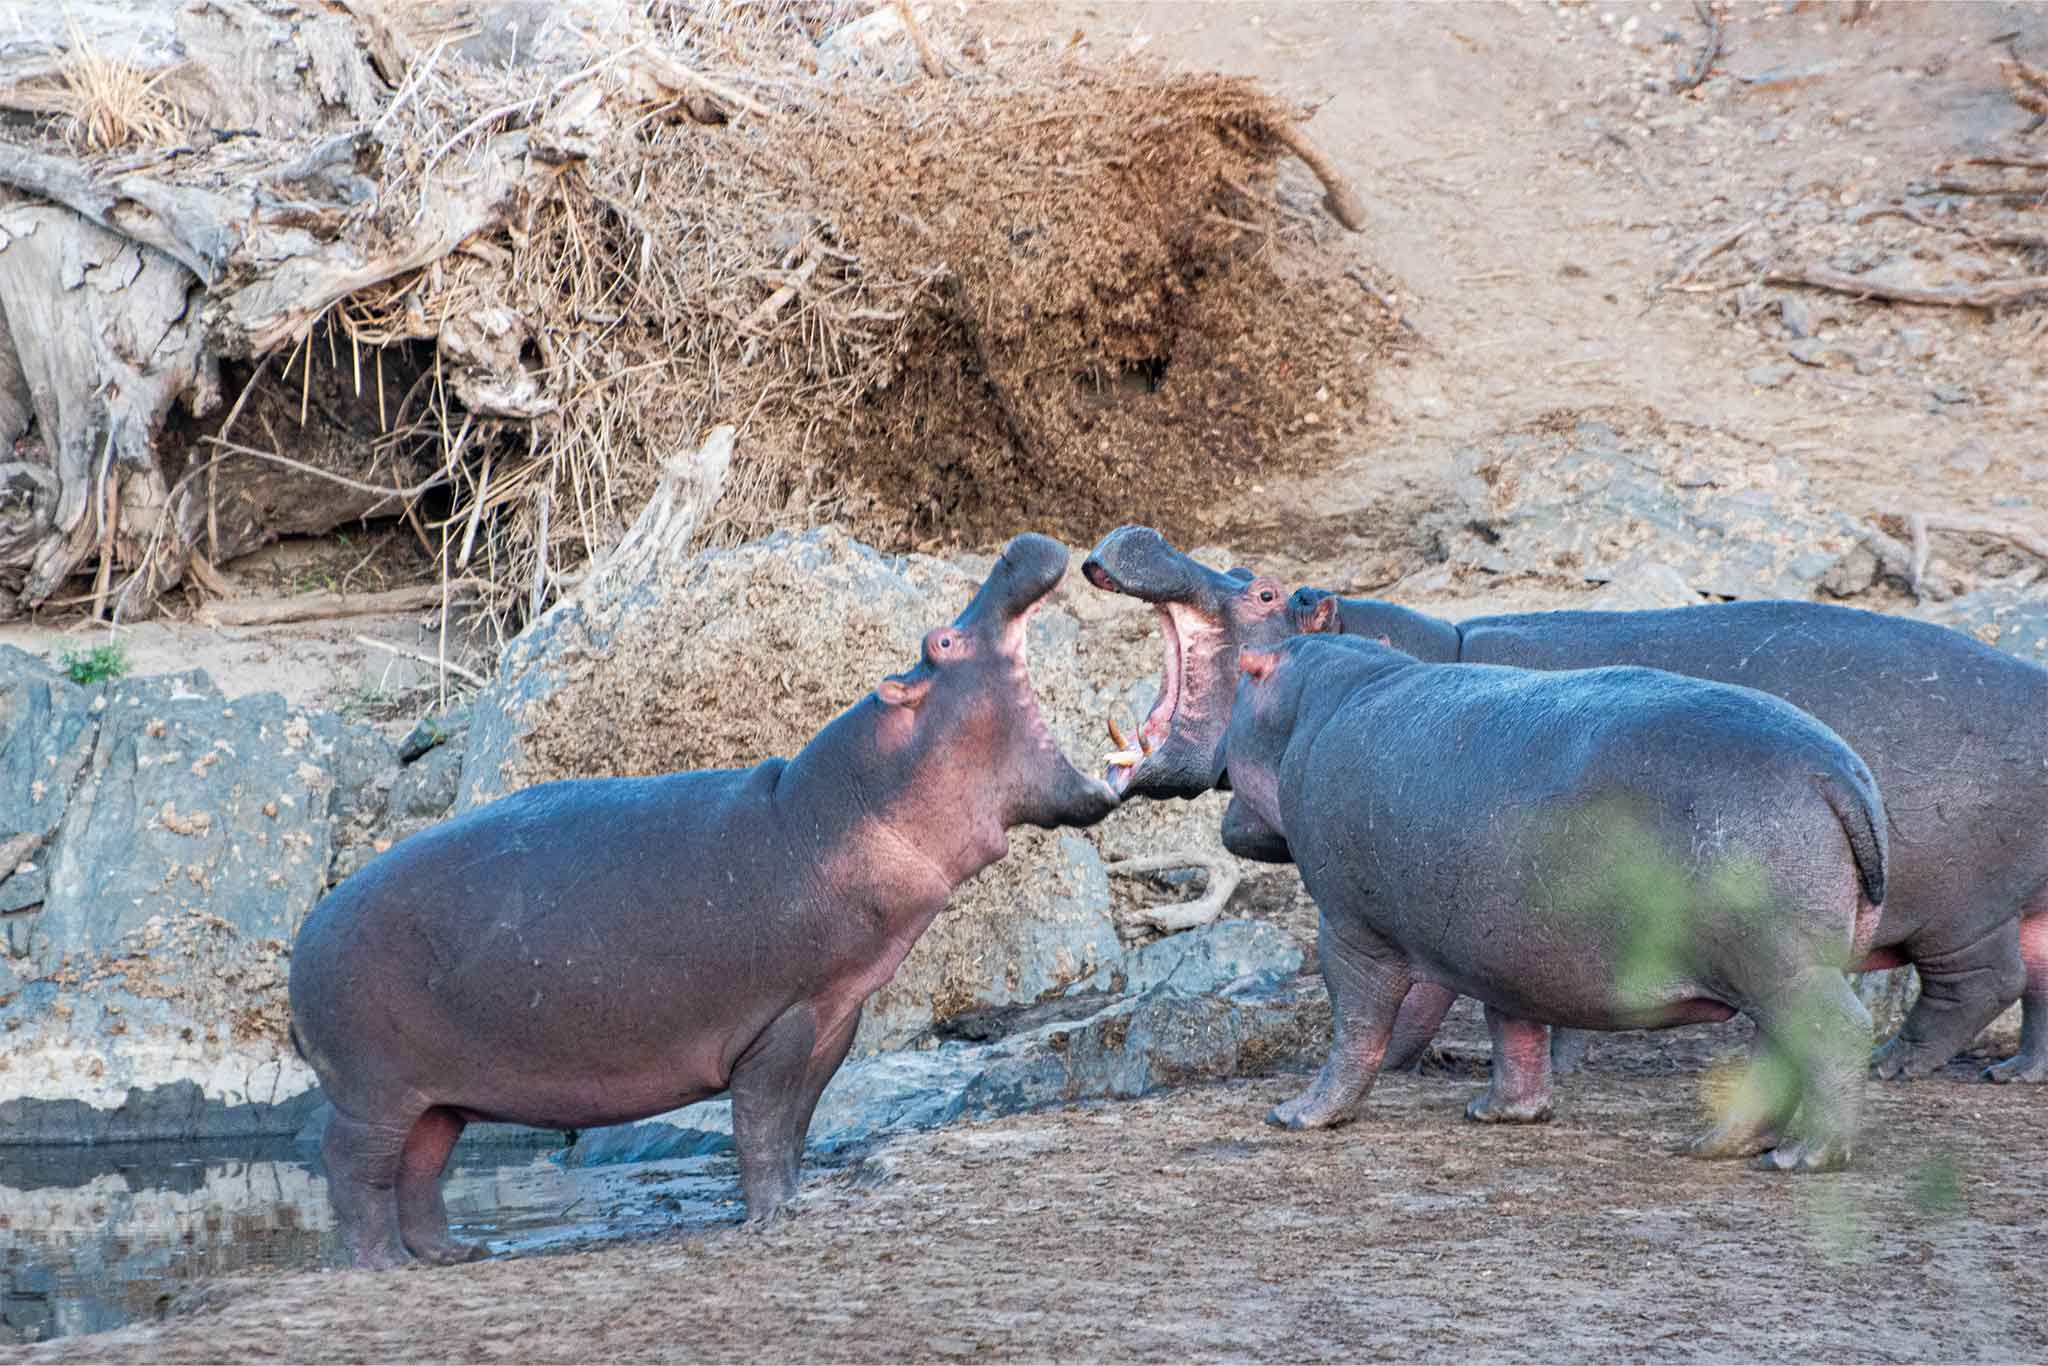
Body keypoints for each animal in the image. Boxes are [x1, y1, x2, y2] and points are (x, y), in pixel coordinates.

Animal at [289, 534, 1118, 1267]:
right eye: (942, 641)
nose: (1015, 547)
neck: (835, 809)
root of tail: (304, 936)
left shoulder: (833, 1016)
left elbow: (796, 1124)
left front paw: (796, 1201)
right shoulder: (778, 1021)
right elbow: (761, 1122)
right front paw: (772, 1215)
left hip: (436, 1096)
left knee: (422, 1166)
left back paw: (454, 1253)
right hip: (371, 1091)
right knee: (355, 1168)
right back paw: (382, 1265)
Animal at [1080, 525, 2048, 1084]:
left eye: (1268, 590)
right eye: (1245, 567)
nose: (1141, 532)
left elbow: (1427, 989)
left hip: (1957, 909)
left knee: (1977, 985)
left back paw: (1894, 1067)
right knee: (2036, 986)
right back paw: (2014, 1077)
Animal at [1223, 632, 1885, 1171]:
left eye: (1242, 680)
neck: (1314, 702)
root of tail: (1839, 773)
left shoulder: (1349, 927)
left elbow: (1356, 1025)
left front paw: (1297, 1115)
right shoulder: (1500, 947)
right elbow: (1512, 1024)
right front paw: (1498, 1112)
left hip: (1783, 962)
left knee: (1837, 1033)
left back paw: (1804, 1159)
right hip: (1775, 966)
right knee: (1778, 1052)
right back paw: (1719, 1146)